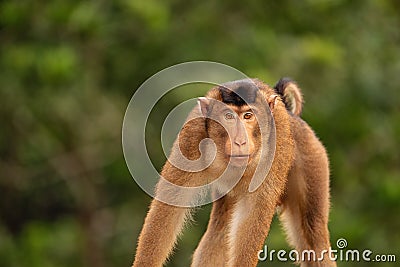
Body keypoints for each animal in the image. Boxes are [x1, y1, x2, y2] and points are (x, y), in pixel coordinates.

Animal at [132, 78, 338, 266]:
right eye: (228, 116)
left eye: (248, 116)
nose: (240, 141)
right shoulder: (192, 136)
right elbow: (169, 207)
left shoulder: (276, 141)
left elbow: (253, 213)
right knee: (220, 231)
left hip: (313, 157)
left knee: (314, 236)